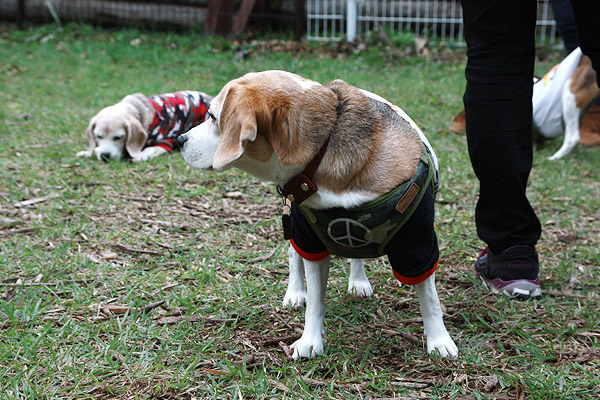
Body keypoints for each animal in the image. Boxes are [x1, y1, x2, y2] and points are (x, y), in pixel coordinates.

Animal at [77, 91, 213, 162]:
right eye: (98, 136)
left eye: (118, 137)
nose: (105, 155)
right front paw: (87, 152)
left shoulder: (163, 143)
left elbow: (148, 150)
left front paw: (139, 156)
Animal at [177, 70, 454, 360]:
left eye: (212, 117)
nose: (179, 141)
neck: (325, 146)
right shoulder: (310, 239)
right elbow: (315, 300)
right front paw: (310, 340)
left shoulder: (418, 241)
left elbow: (430, 298)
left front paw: (439, 340)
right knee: (293, 255)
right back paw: (296, 292)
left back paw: (358, 280)